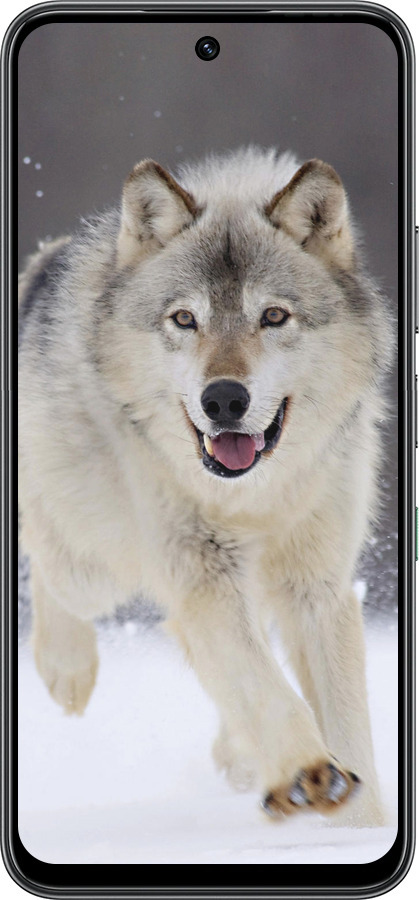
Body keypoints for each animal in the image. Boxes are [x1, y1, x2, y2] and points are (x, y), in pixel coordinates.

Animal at [18, 147, 393, 826]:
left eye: (273, 316)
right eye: (185, 319)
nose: (223, 399)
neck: (253, 497)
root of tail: (44, 262)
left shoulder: (317, 586)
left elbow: (346, 721)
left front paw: (359, 825)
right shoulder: (202, 573)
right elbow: (265, 686)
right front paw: (307, 772)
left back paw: (240, 757)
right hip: (96, 566)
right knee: (47, 557)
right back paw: (67, 670)